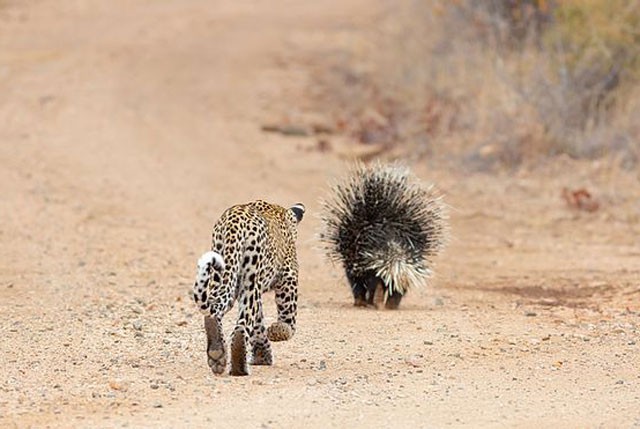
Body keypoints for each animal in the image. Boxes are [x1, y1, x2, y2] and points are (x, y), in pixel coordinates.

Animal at [192, 200, 304, 374]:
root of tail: (234, 222)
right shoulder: (288, 276)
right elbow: (288, 318)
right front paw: (277, 331)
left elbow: (258, 324)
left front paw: (261, 356)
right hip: (251, 275)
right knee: (241, 326)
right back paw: (239, 369)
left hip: (225, 275)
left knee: (216, 310)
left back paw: (217, 354)